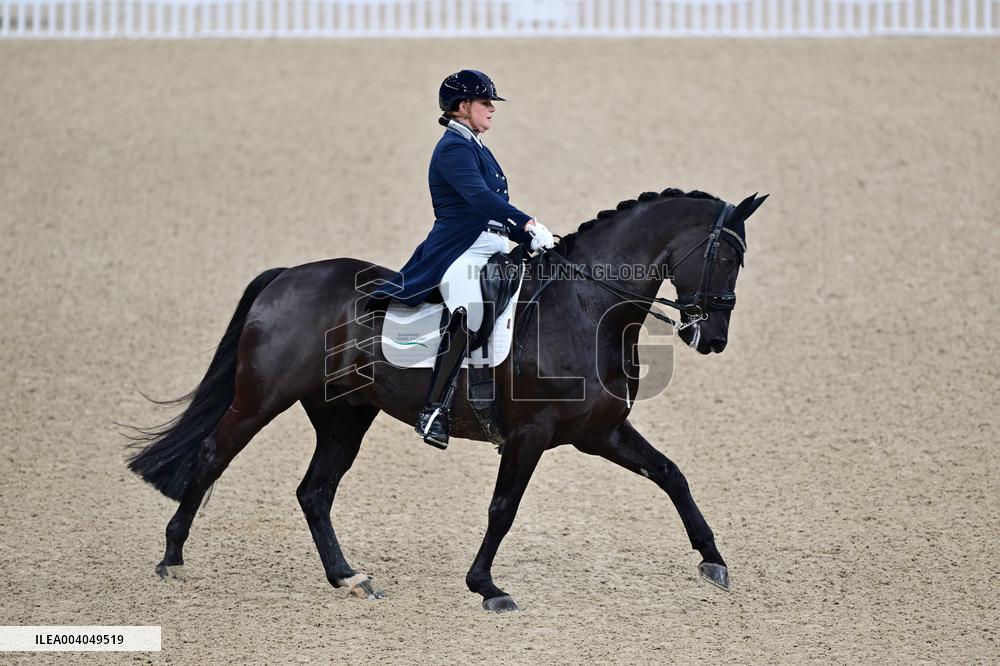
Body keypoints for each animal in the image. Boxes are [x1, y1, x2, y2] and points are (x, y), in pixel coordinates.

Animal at [126, 187, 767, 612]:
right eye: (724, 256)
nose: (712, 338)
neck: (588, 306)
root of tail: (287, 276)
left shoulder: (599, 433)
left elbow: (671, 474)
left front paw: (712, 559)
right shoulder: (531, 435)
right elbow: (503, 508)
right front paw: (486, 586)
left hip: (344, 415)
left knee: (315, 491)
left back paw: (348, 577)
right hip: (262, 399)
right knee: (213, 456)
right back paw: (171, 559)